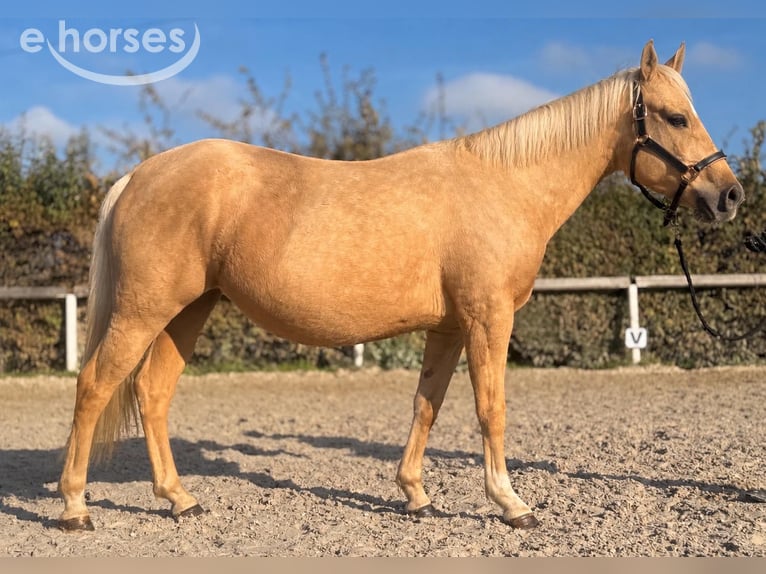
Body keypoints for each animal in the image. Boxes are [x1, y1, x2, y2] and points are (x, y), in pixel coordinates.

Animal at [57, 40, 744, 532]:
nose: (730, 196)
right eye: (676, 116)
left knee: (151, 393)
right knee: (94, 387)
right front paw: (511, 503)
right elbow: (490, 409)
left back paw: (180, 499)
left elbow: (426, 405)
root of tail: (140, 174)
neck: (504, 185)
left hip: (188, 310)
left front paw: (416, 495)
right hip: (144, 309)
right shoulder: (488, 319)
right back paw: (76, 508)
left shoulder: (450, 327)